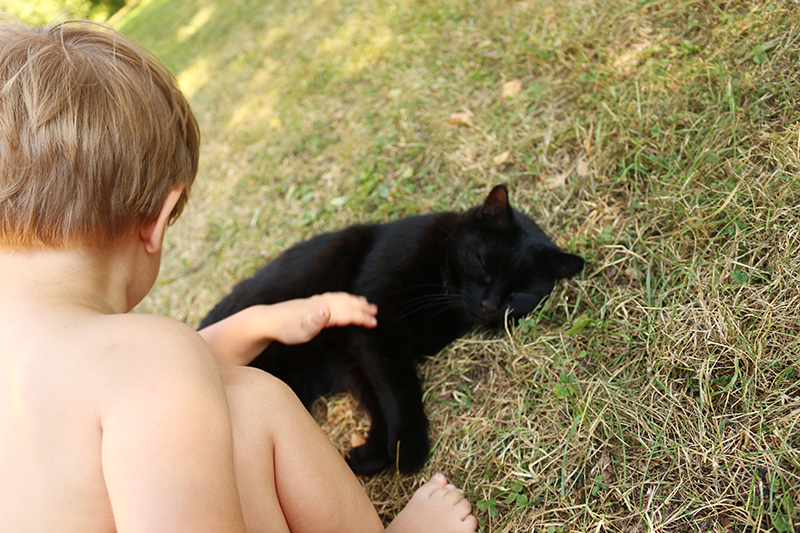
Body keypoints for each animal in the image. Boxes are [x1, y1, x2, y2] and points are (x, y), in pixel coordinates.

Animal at [199, 185, 584, 475]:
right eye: (484, 264)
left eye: (519, 293)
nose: (489, 304)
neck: (442, 293)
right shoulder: (376, 325)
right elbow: (401, 391)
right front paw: (410, 449)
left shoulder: (354, 356)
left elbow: (382, 397)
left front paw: (372, 455)